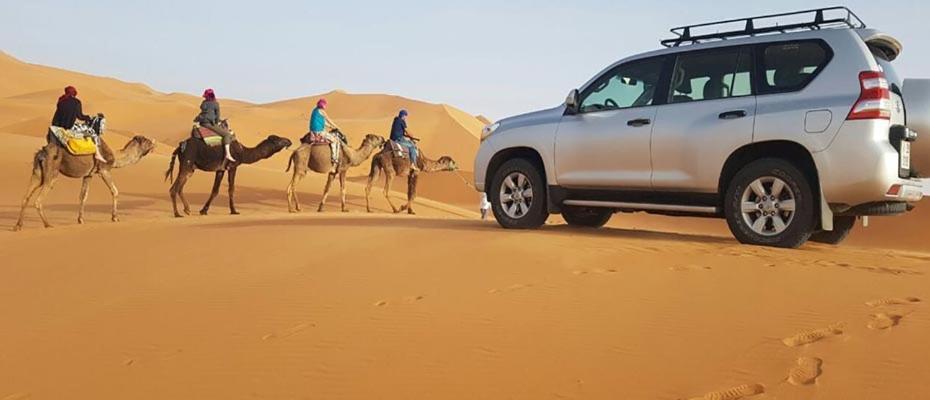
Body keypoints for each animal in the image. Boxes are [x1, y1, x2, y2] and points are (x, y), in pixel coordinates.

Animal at [12, 122, 156, 231]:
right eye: (146, 140)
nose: (154, 143)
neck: (114, 157)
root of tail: (41, 153)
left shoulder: (88, 175)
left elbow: (83, 196)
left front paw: (80, 220)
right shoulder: (104, 170)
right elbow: (115, 191)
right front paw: (115, 217)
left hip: (37, 173)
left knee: (25, 197)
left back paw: (18, 226)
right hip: (52, 172)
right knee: (38, 200)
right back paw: (47, 224)